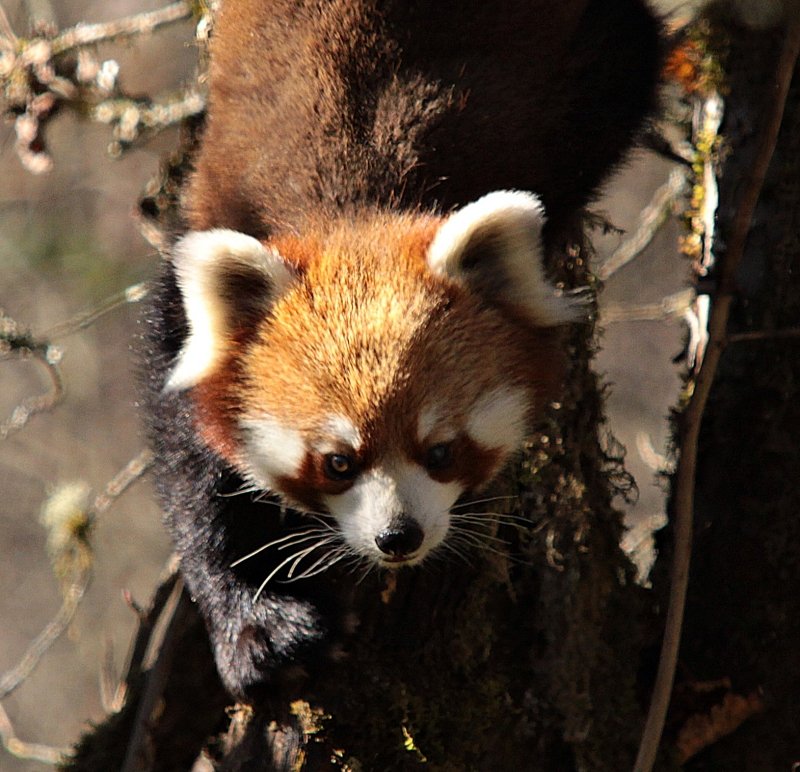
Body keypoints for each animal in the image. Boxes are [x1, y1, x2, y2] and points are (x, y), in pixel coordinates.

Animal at [142, 0, 664, 696]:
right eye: (337, 461)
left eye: (441, 450)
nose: (399, 537)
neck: (356, 197)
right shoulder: (217, 212)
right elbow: (189, 462)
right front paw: (258, 626)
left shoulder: (557, 98)